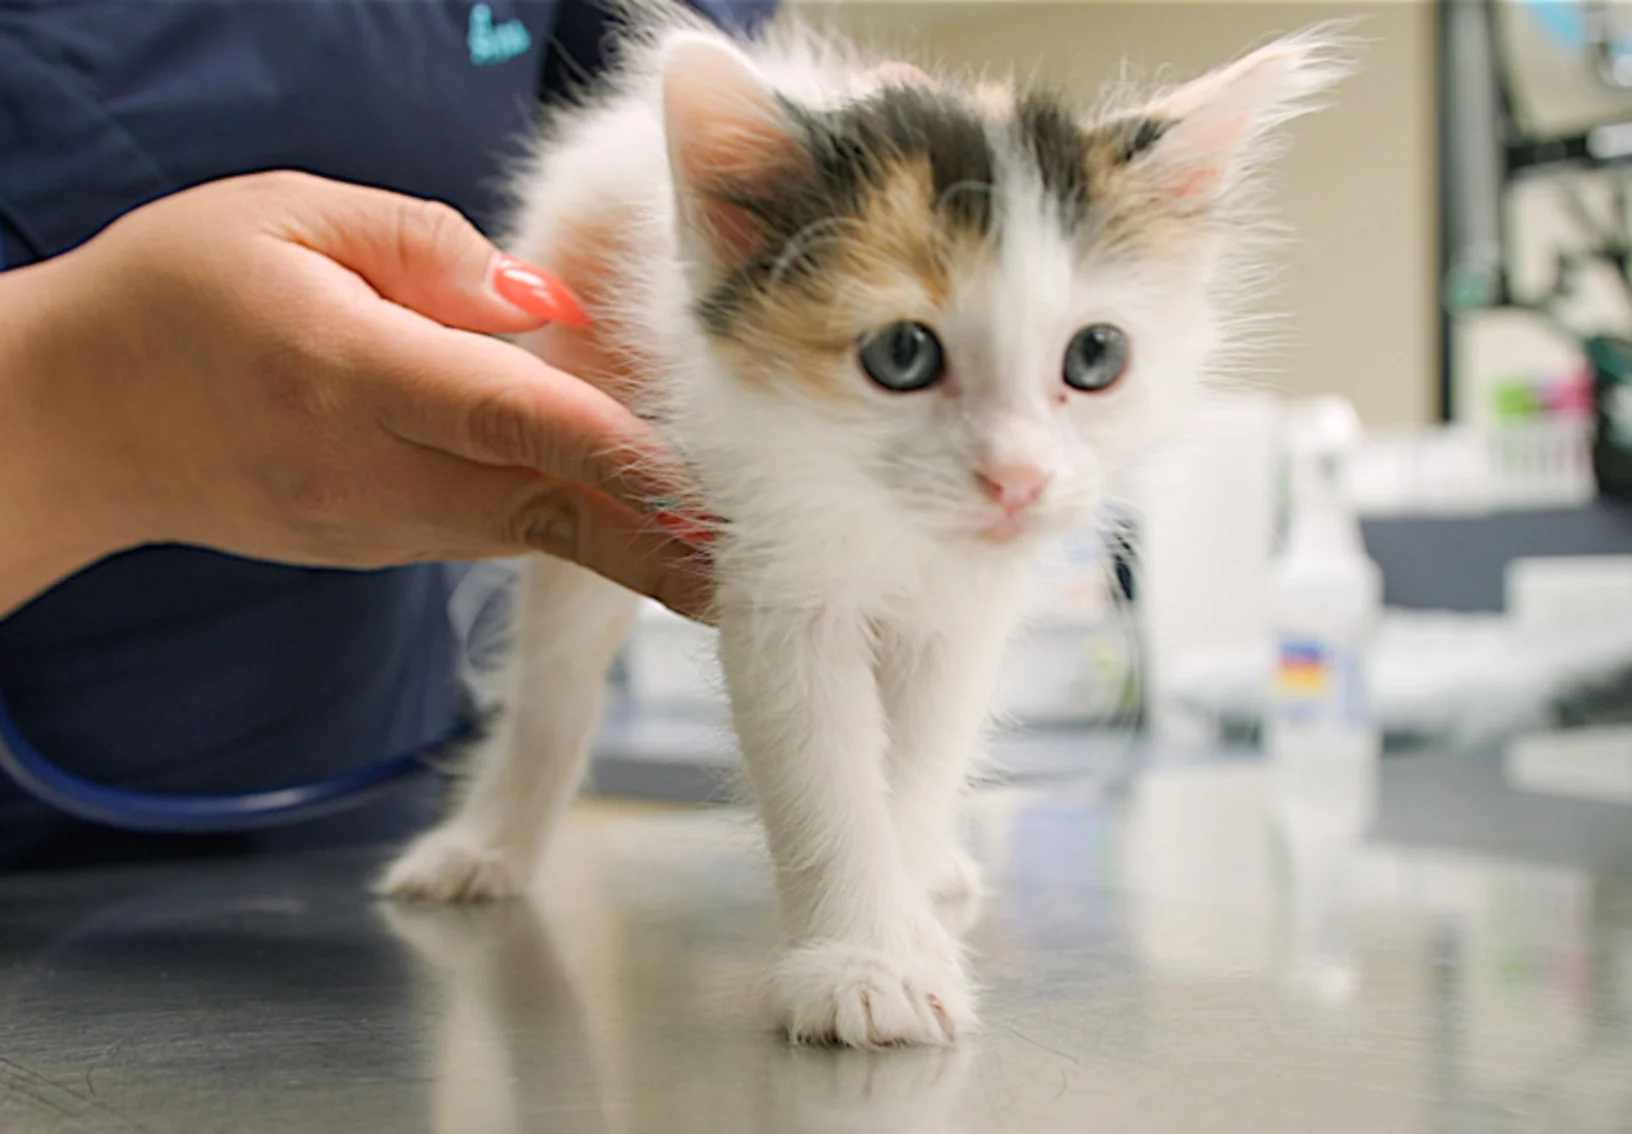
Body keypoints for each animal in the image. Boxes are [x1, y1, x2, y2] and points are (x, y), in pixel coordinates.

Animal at [381, 0, 1351, 1050]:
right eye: (901, 355)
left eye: (1096, 356)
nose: (1016, 480)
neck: (888, 522)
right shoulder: (773, 570)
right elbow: (827, 769)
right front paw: (865, 962)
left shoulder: (958, 617)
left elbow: (915, 765)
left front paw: (906, 908)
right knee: (554, 687)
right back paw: (486, 843)